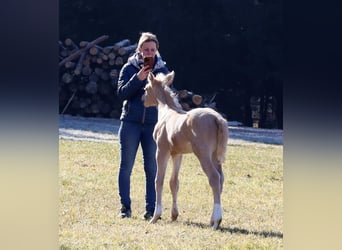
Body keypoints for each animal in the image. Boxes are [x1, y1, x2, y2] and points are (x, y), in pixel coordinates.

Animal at [143, 71, 228, 229]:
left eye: (146, 88)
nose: (143, 100)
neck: (167, 112)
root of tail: (217, 118)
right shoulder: (177, 154)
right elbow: (174, 182)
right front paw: (174, 215)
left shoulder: (162, 151)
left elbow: (159, 180)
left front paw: (156, 216)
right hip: (215, 156)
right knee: (221, 178)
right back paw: (213, 219)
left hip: (203, 154)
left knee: (214, 178)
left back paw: (216, 221)